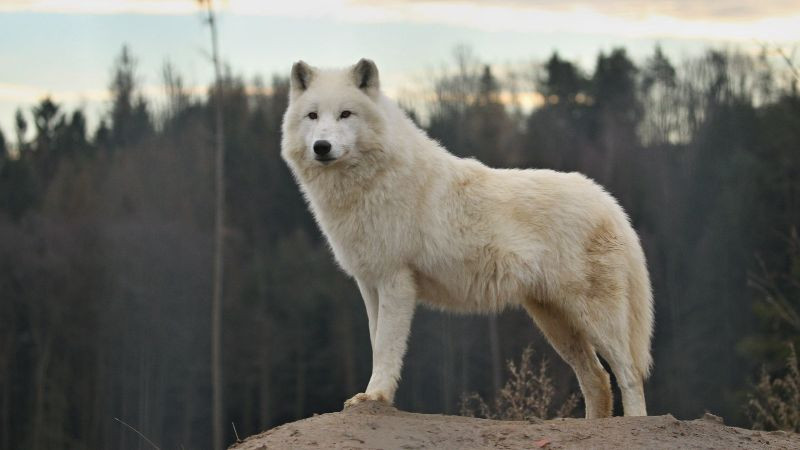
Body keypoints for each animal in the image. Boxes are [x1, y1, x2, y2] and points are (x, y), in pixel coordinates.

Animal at [281, 58, 654, 418]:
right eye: (313, 115)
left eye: (346, 114)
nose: (322, 147)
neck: (370, 183)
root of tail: (608, 201)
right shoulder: (369, 283)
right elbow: (376, 343)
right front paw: (371, 396)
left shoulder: (395, 281)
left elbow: (386, 347)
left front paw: (376, 396)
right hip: (555, 321)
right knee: (597, 378)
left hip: (593, 318)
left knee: (629, 373)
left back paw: (634, 421)